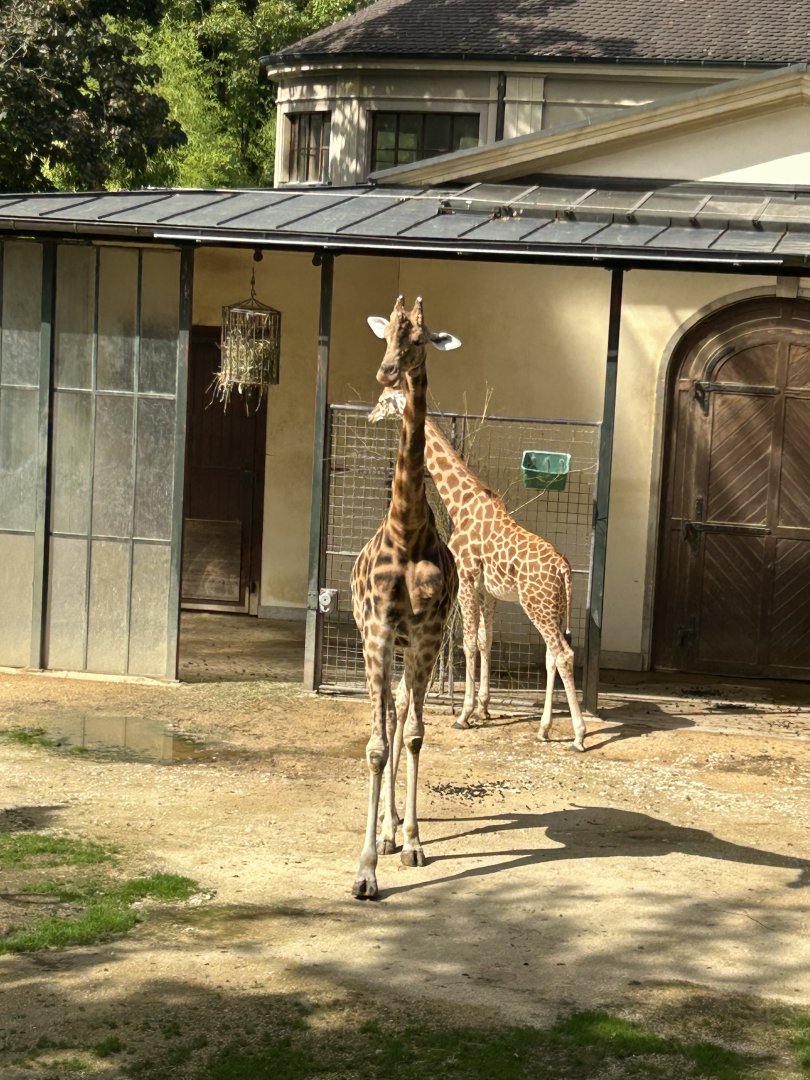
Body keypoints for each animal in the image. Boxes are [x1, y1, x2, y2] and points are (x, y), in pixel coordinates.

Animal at [370, 386, 586, 752]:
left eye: (385, 398)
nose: (371, 415)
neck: (461, 504)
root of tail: (564, 570)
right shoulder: (488, 590)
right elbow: (486, 640)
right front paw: (484, 708)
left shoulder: (467, 578)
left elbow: (468, 642)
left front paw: (464, 714)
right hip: (553, 607)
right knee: (551, 655)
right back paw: (544, 729)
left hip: (536, 605)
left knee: (564, 654)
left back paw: (580, 734)